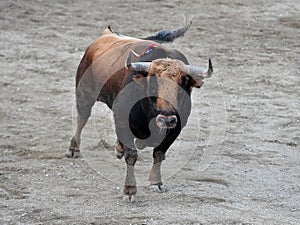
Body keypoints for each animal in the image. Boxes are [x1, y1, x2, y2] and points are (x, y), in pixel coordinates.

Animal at [68, 21, 213, 203]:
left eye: (182, 86)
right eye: (153, 85)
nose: (167, 120)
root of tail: (106, 34)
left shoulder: (176, 128)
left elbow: (159, 153)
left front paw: (156, 182)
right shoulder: (123, 120)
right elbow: (132, 156)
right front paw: (129, 190)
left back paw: (118, 148)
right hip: (84, 94)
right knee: (81, 119)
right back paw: (74, 148)